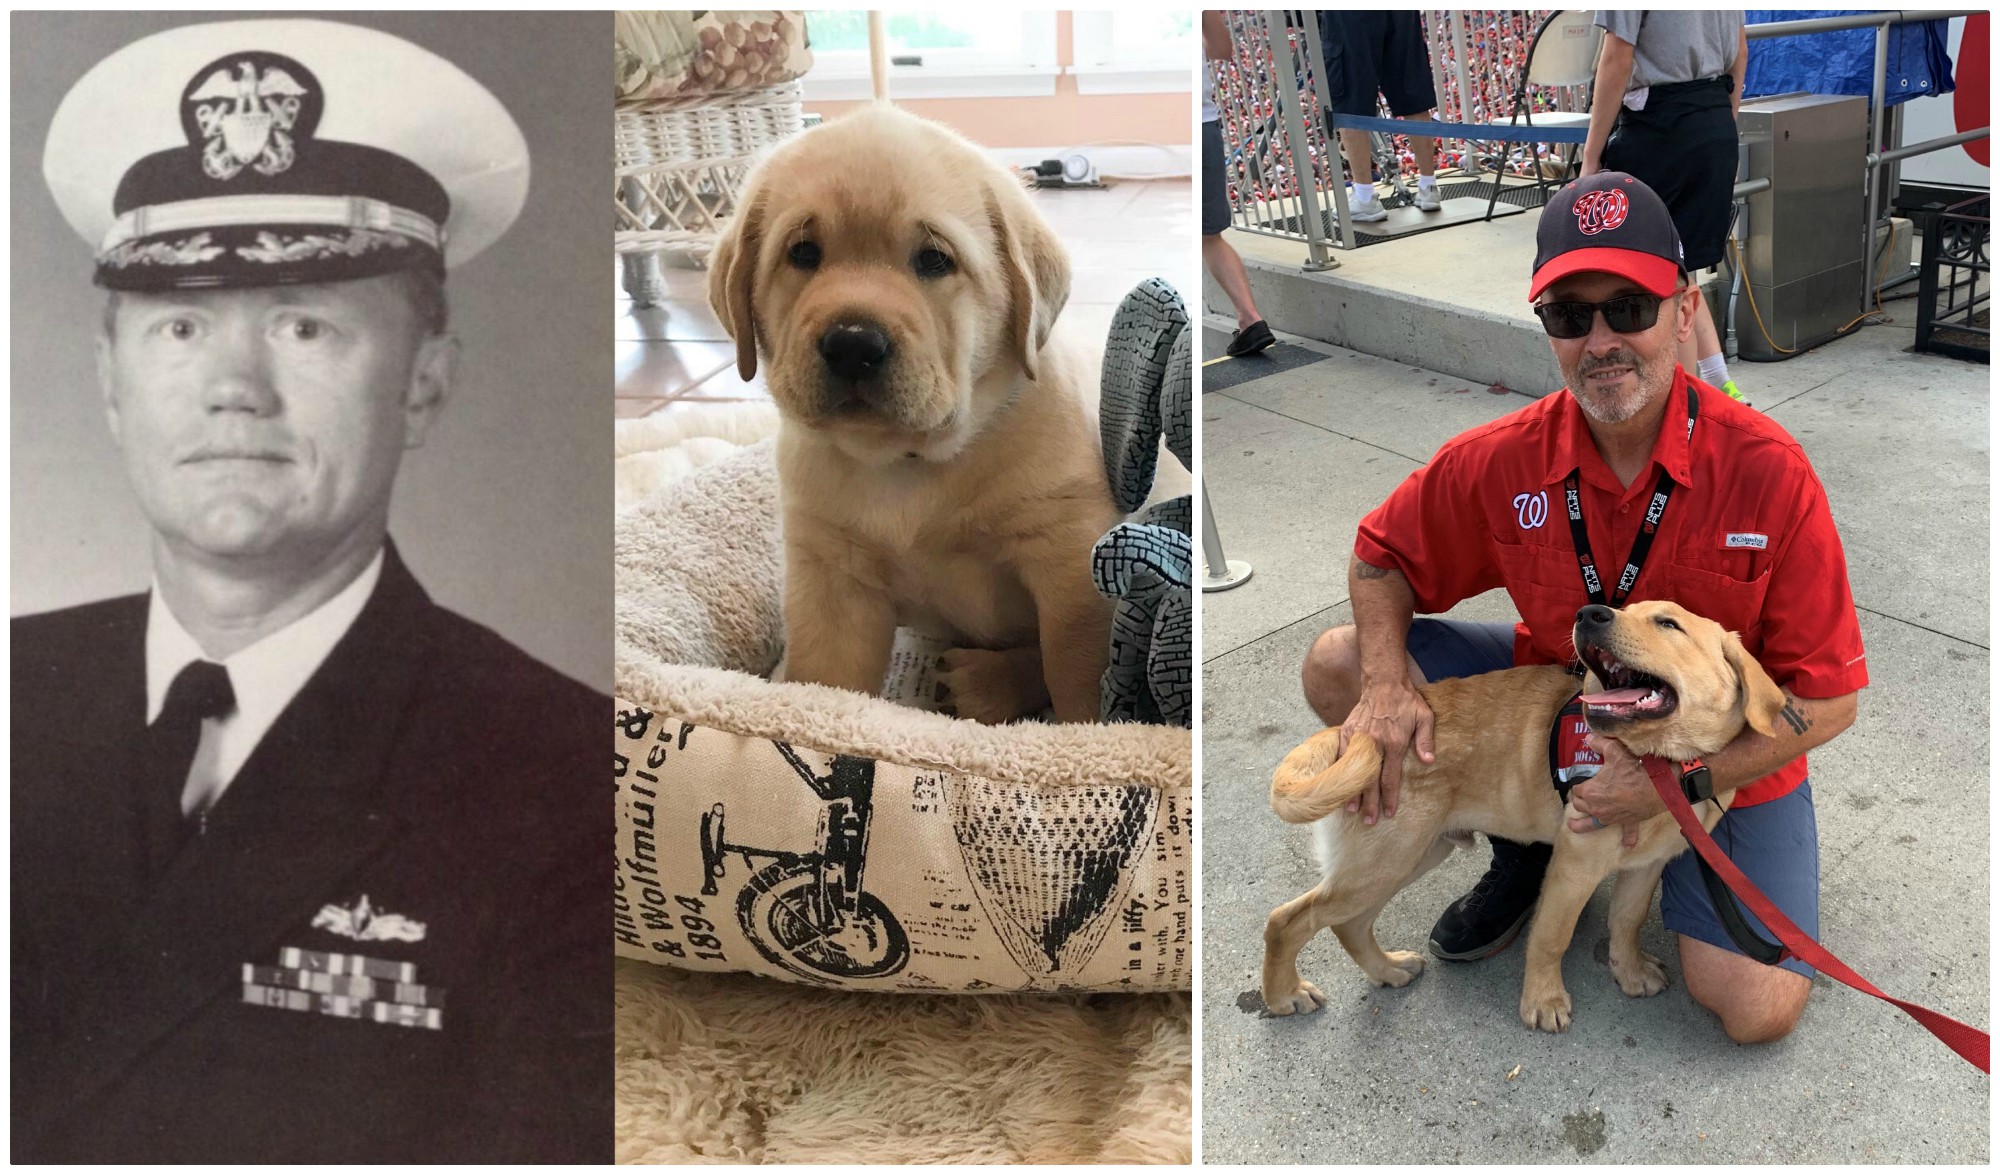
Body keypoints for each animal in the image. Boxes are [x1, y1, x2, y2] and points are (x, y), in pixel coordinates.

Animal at [708, 103, 1120, 723]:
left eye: (933, 259)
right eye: (803, 253)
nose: (853, 344)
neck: (908, 461)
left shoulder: (1070, 559)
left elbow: (1072, 670)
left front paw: (1082, 736)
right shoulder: (831, 576)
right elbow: (824, 683)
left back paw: (985, 681)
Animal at [1256, 599, 1792, 1031]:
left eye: (1667, 623)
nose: (1589, 613)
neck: (1660, 764)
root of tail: (1351, 731)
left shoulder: (1646, 865)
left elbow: (1627, 920)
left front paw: (1629, 971)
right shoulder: (1574, 865)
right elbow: (1552, 937)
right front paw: (1543, 1001)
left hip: (1410, 854)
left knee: (1347, 924)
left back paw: (1387, 970)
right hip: (1387, 857)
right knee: (1288, 919)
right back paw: (1285, 996)